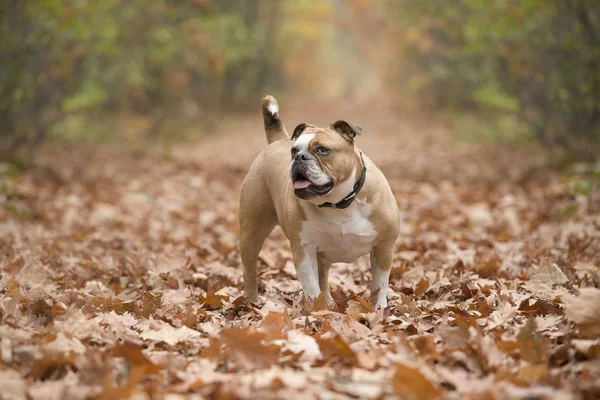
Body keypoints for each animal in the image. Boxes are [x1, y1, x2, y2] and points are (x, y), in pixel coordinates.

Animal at [238, 95, 398, 308]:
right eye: (293, 151)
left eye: (322, 150)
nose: (299, 157)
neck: (338, 203)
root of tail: (277, 141)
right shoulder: (304, 250)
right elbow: (312, 287)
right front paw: (317, 310)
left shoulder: (384, 247)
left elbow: (379, 285)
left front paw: (379, 309)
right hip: (252, 232)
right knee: (249, 269)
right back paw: (251, 300)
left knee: (323, 275)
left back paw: (329, 301)